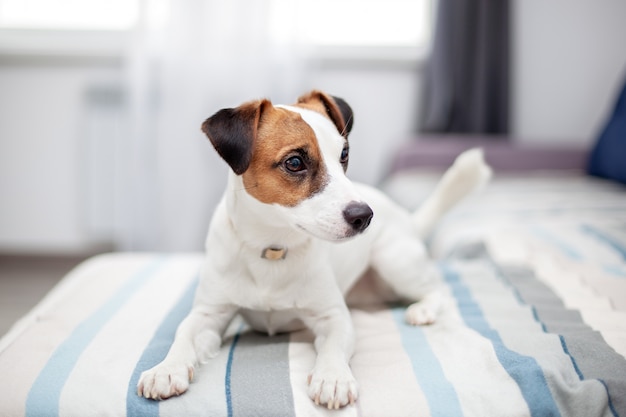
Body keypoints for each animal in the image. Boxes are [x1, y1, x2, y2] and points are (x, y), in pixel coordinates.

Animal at [138, 90, 492, 406]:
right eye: (295, 162)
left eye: (344, 155)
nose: (365, 216)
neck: (272, 248)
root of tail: (405, 216)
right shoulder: (209, 313)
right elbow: (184, 333)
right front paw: (166, 368)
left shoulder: (333, 316)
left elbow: (333, 347)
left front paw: (332, 377)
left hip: (395, 262)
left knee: (438, 289)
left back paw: (423, 309)